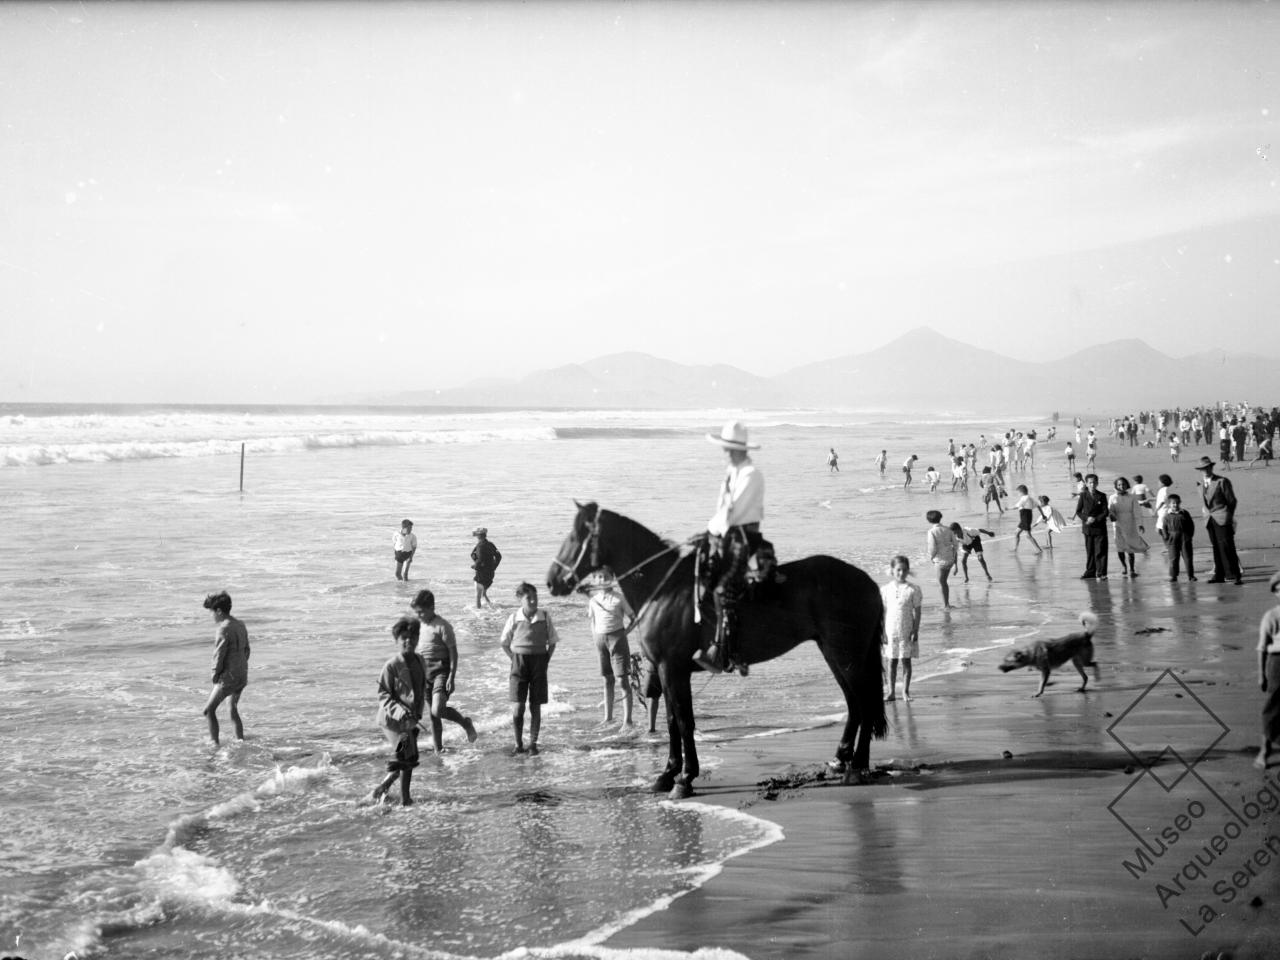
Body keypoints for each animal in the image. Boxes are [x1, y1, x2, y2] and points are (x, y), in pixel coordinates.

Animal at [545, 499, 885, 798]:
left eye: (576, 536)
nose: (551, 581)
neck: (664, 591)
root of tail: (867, 581)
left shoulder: (672, 669)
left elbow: (683, 721)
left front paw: (684, 778)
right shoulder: (670, 671)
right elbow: (673, 720)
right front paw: (668, 774)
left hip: (847, 656)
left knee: (865, 703)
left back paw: (857, 766)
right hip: (834, 654)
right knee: (855, 704)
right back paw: (841, 760)